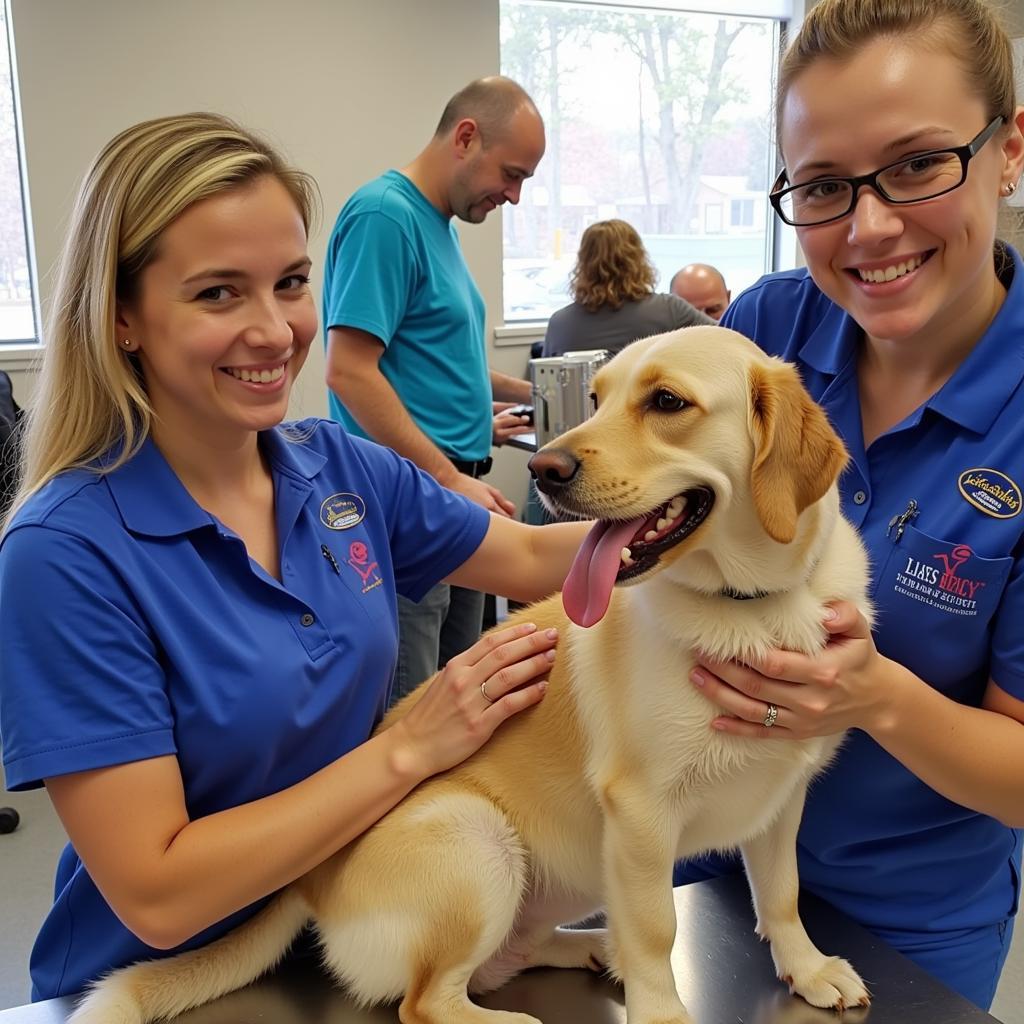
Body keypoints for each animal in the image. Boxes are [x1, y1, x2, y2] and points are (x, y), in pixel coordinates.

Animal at [72, 327, 872, 1024]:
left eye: (667, 401)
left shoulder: (781, 798)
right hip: (479, 841)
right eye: (598, 395)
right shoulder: (641, 816)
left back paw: (592, 948)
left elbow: (781, 894)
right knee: (426, 1001)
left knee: (506, 958)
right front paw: (662, 1012)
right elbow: (655, 934)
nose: (546, 469)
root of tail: (309, 881)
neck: (754, 605)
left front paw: (807, 969)